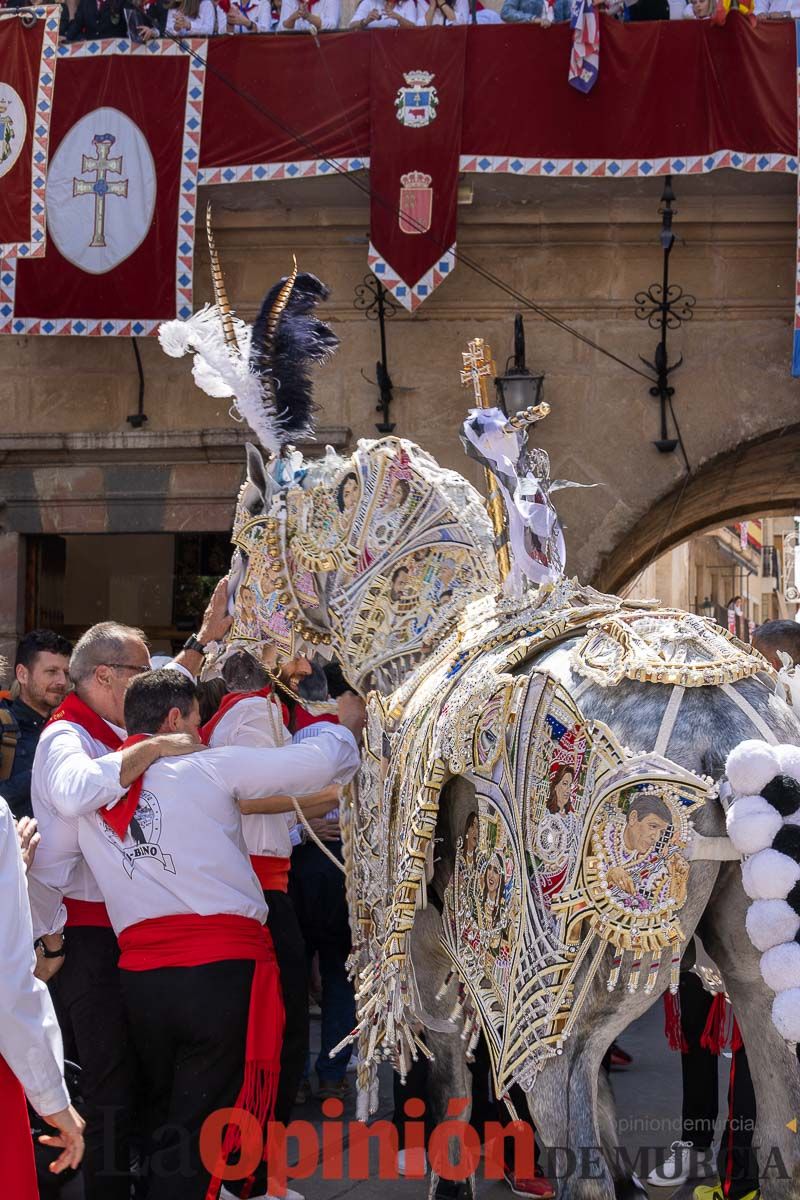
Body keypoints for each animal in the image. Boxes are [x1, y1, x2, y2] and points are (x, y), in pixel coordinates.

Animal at [159, 236, 800, 1200]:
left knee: (573, 1133)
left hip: (577, 982)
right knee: (776, 1129)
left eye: (239, 545)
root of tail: (734, 731)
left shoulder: (422, 942)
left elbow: (453, 1085)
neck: (421, 638)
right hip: (748, 960)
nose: (212, 635)